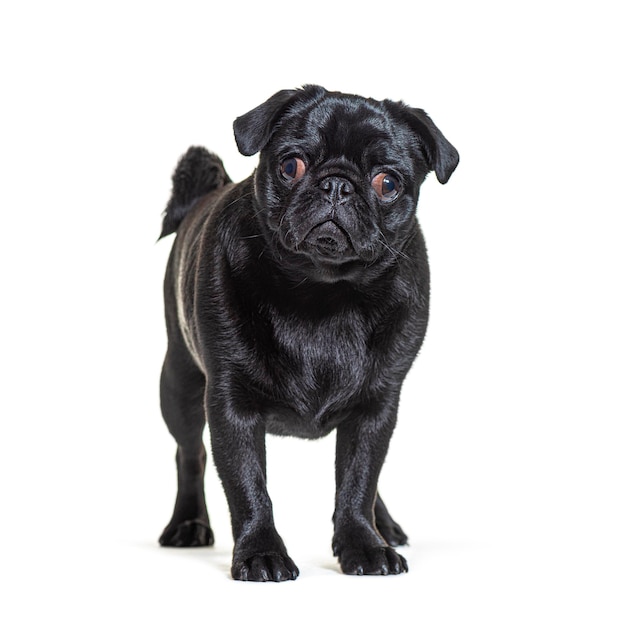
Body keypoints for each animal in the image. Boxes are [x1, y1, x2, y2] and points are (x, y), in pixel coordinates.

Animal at [157, 83, 458, 580]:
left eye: (388, 183)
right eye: (290, 165)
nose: (337, 184)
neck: (325, 292)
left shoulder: (376, 406)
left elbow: (358, 480)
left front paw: (364, 544)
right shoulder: (231, 405)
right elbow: (248, 486)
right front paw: (261, 553)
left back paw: (384, 527)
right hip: (178, 385)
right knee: (189, 455)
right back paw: (187, 525)